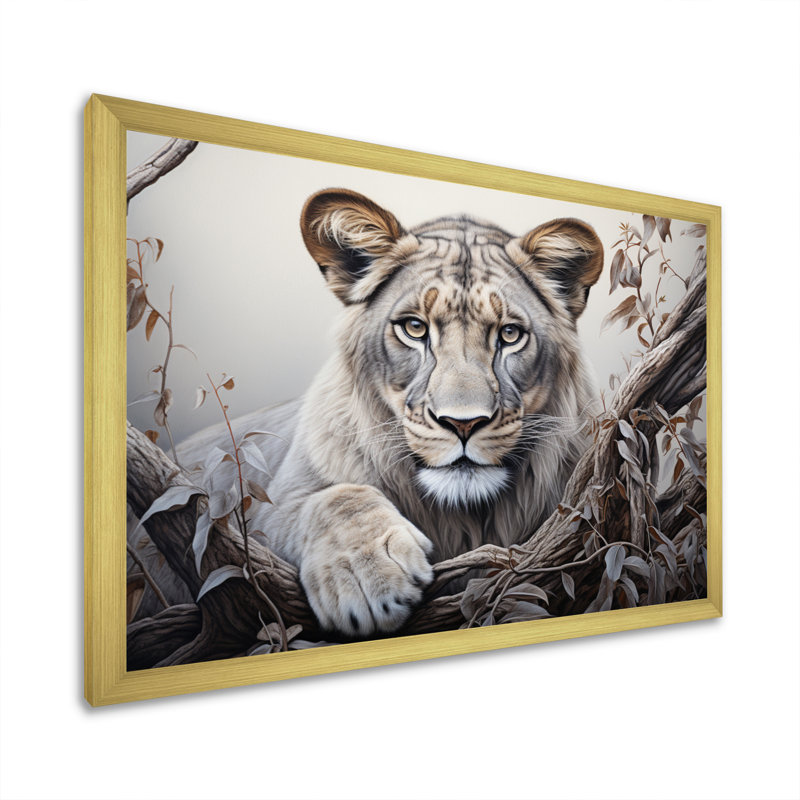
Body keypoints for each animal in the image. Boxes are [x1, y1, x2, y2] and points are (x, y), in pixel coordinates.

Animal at [178, 189, 603, 637]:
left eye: (509, 334)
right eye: (414, 328)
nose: (463, 423)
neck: (464, 517)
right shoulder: (266, 510)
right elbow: (336, 498)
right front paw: (369, 578)